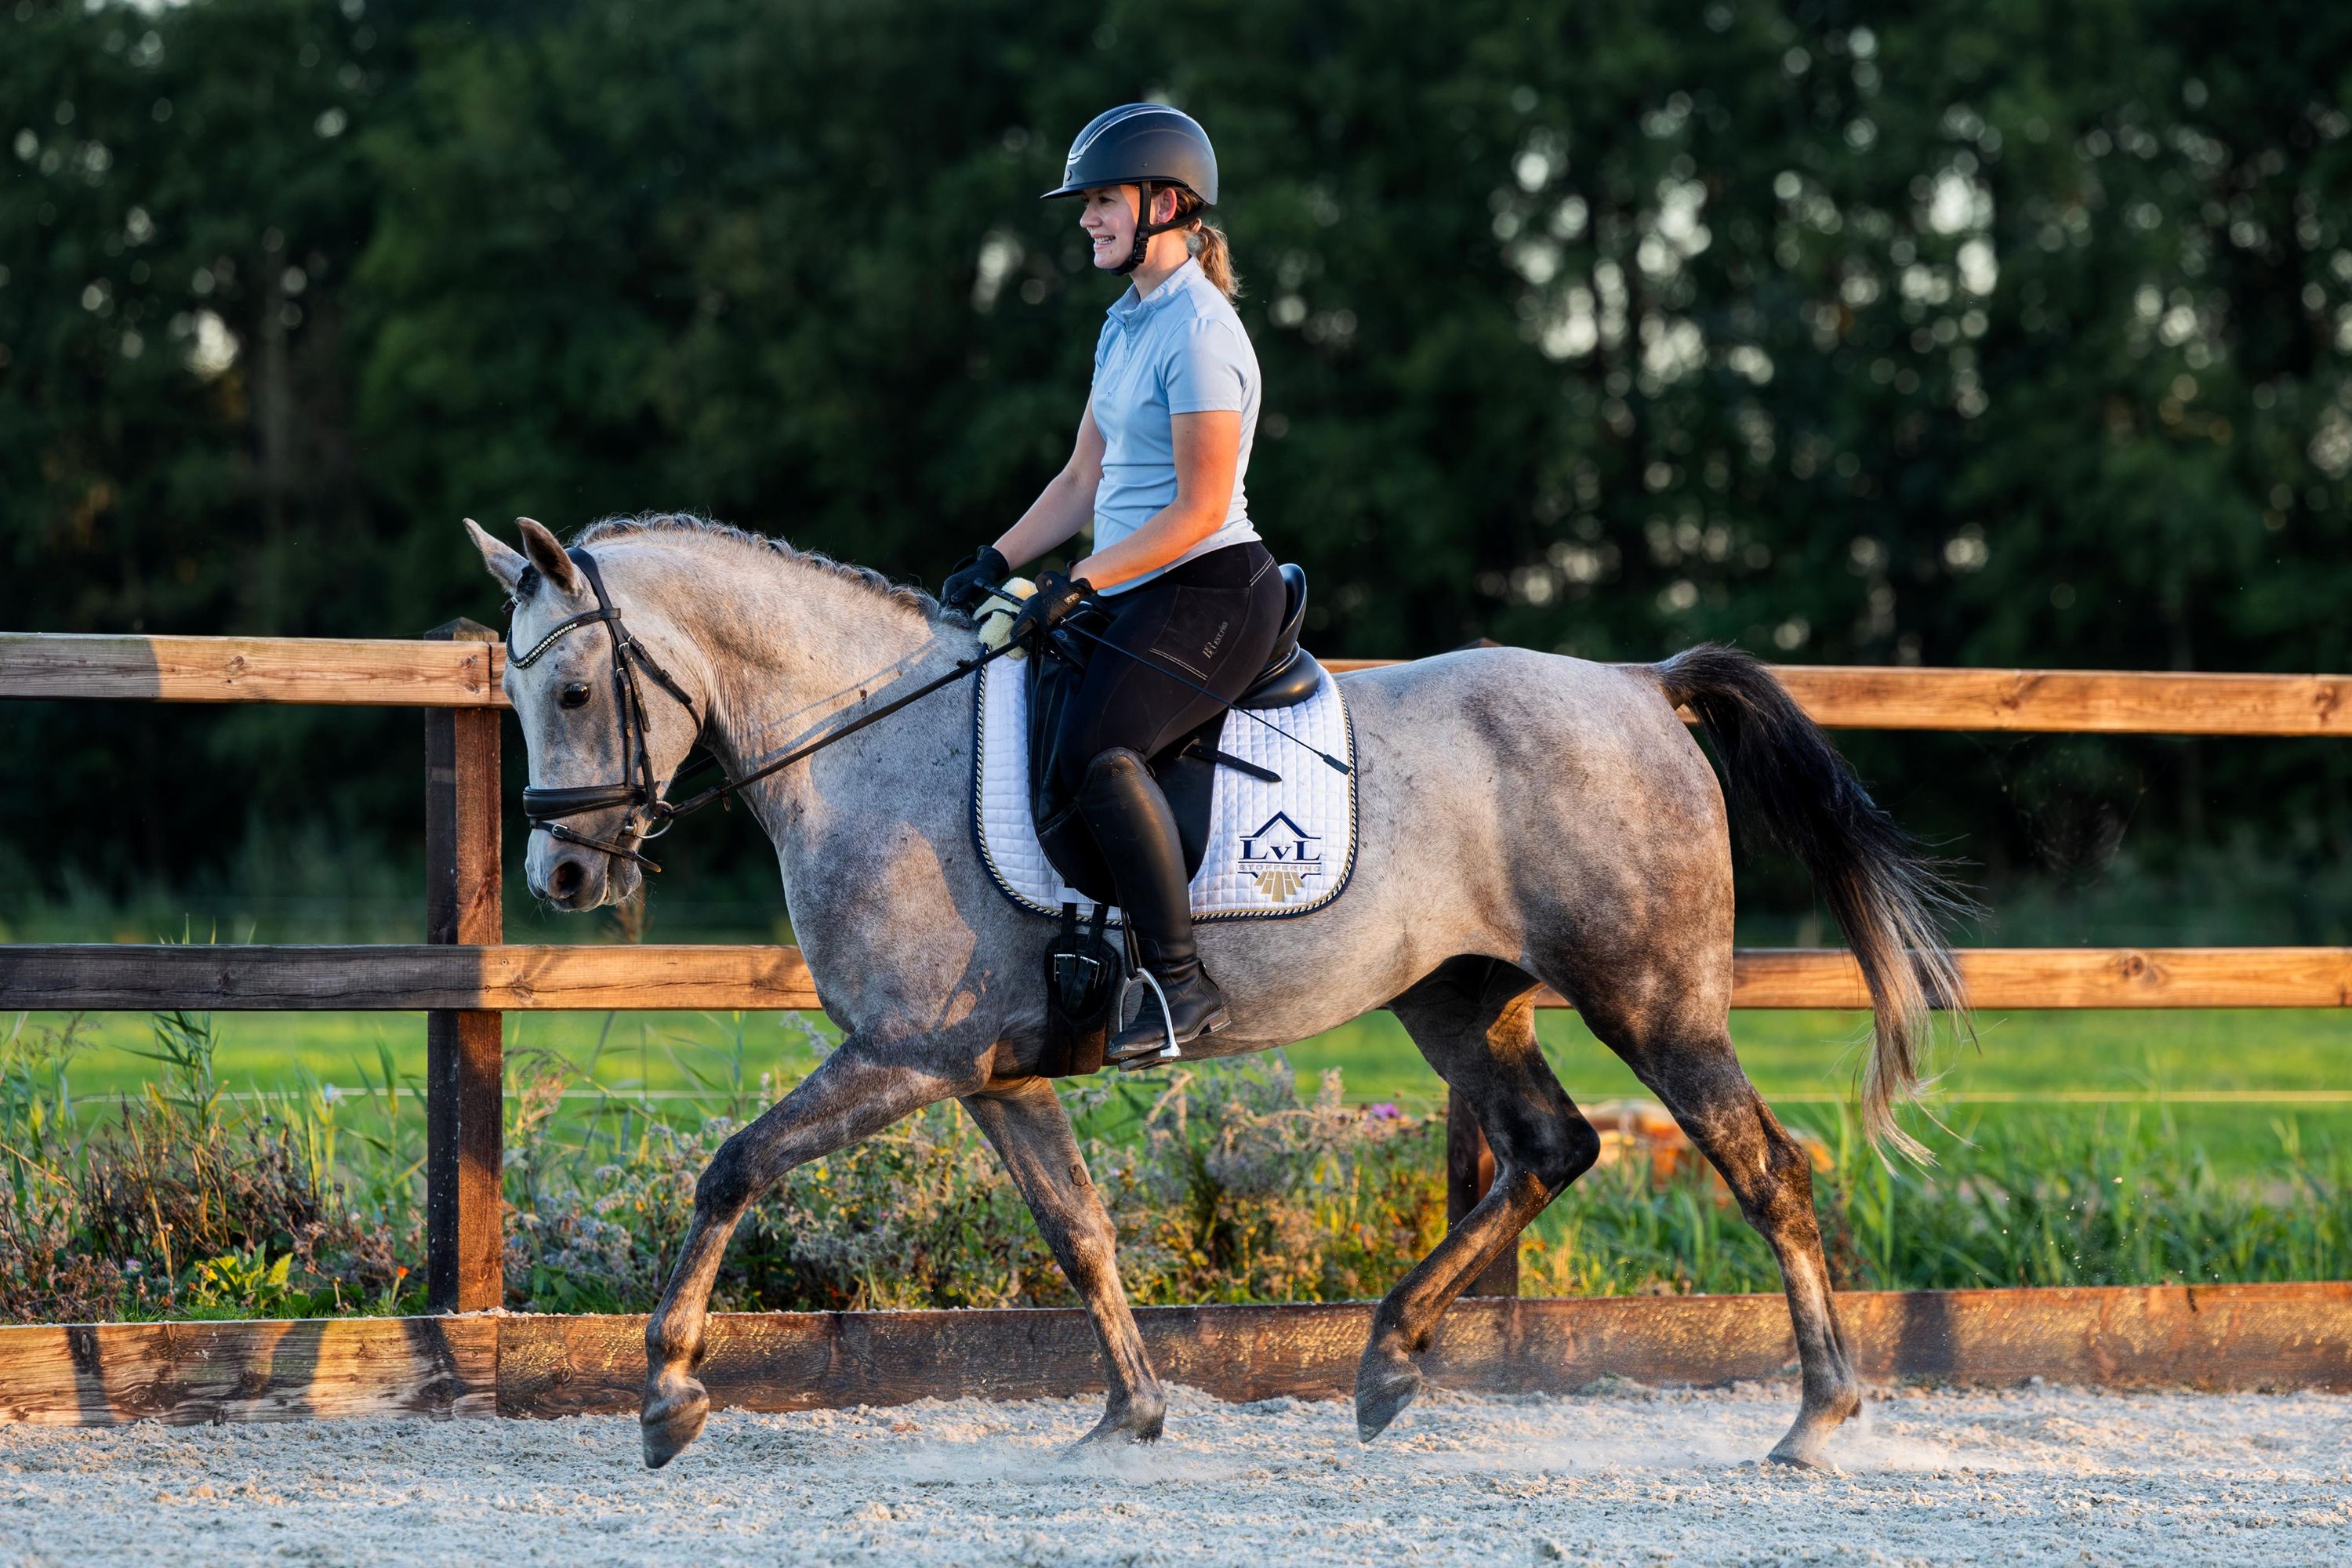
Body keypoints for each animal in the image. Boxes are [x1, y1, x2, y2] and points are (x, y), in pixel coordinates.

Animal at [464, 512, 1966, 1471]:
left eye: (580, 690)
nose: (563, 874)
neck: (870, 743)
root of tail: (1642, 689)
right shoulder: (990, 1076)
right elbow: (1080, 1233)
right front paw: (1126, 1419)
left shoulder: (908, 1057)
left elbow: (733, 1166)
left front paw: (667, 1391)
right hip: (1460, 998)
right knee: (1549, 1148)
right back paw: (1388, 1363)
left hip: (1652, 1000)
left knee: (1768, 1172)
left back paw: (1817, 1418)